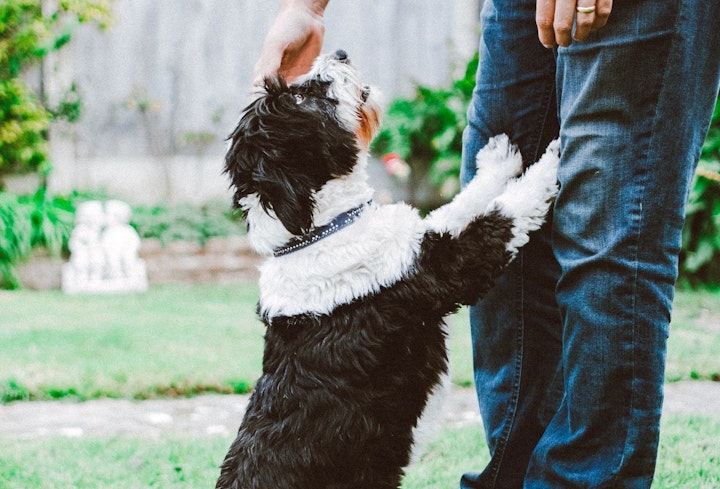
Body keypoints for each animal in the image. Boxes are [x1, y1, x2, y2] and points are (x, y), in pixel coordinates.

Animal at [217, 50, 560, 488]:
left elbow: (459, 205)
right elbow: (504, 214)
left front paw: (497, 161)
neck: (319, 232)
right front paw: (553, 159)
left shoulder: (420, 240)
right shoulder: (447, 268)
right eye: (302, 97)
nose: (340, 52)